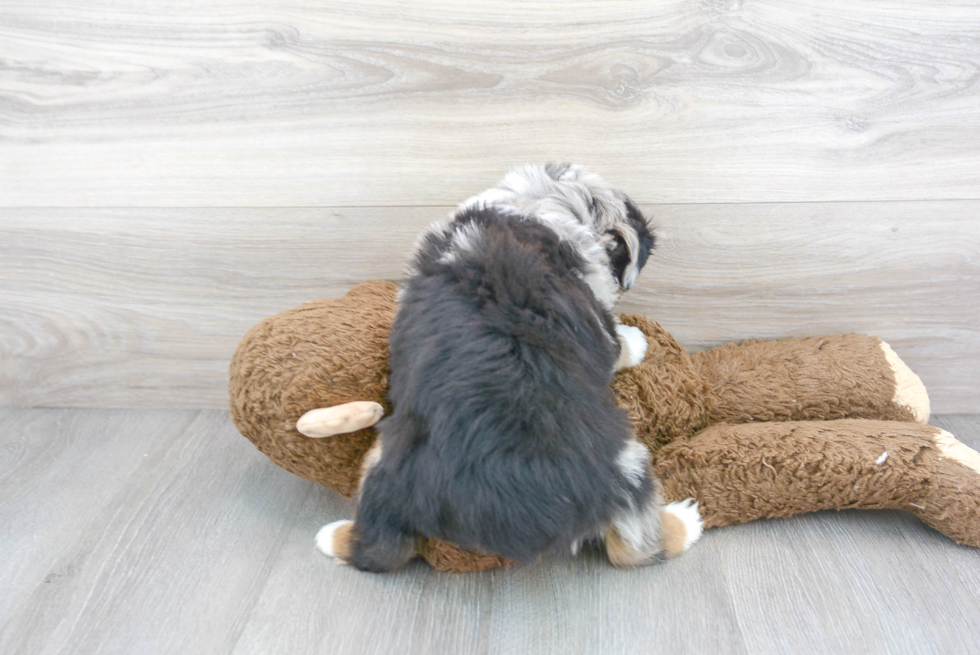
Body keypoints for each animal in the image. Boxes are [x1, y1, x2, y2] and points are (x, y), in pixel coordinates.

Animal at [318, 165, 700, 576]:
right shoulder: (601, 327)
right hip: (626, 465)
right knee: (634, 549)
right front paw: (638, 340)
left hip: (386, 462)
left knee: (376, 548)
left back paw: (329, 536)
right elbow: (620, 344)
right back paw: (688, 520)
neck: (537, 205)